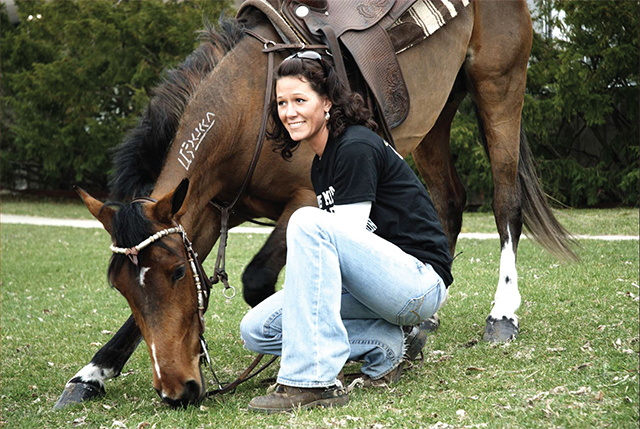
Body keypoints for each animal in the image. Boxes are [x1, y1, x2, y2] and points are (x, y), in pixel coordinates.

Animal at [55, 0, 576, 408]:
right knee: (448, 202)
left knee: (506, 202)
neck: (252, 108)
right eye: (120, 285)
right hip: (436, 111)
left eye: (177, 274)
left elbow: (258, 282)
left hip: (499, 81)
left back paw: (501, 314)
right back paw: (420, 326)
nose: (175, 389)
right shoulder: (198, 210)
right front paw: (92, 374)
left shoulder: (305, 201)